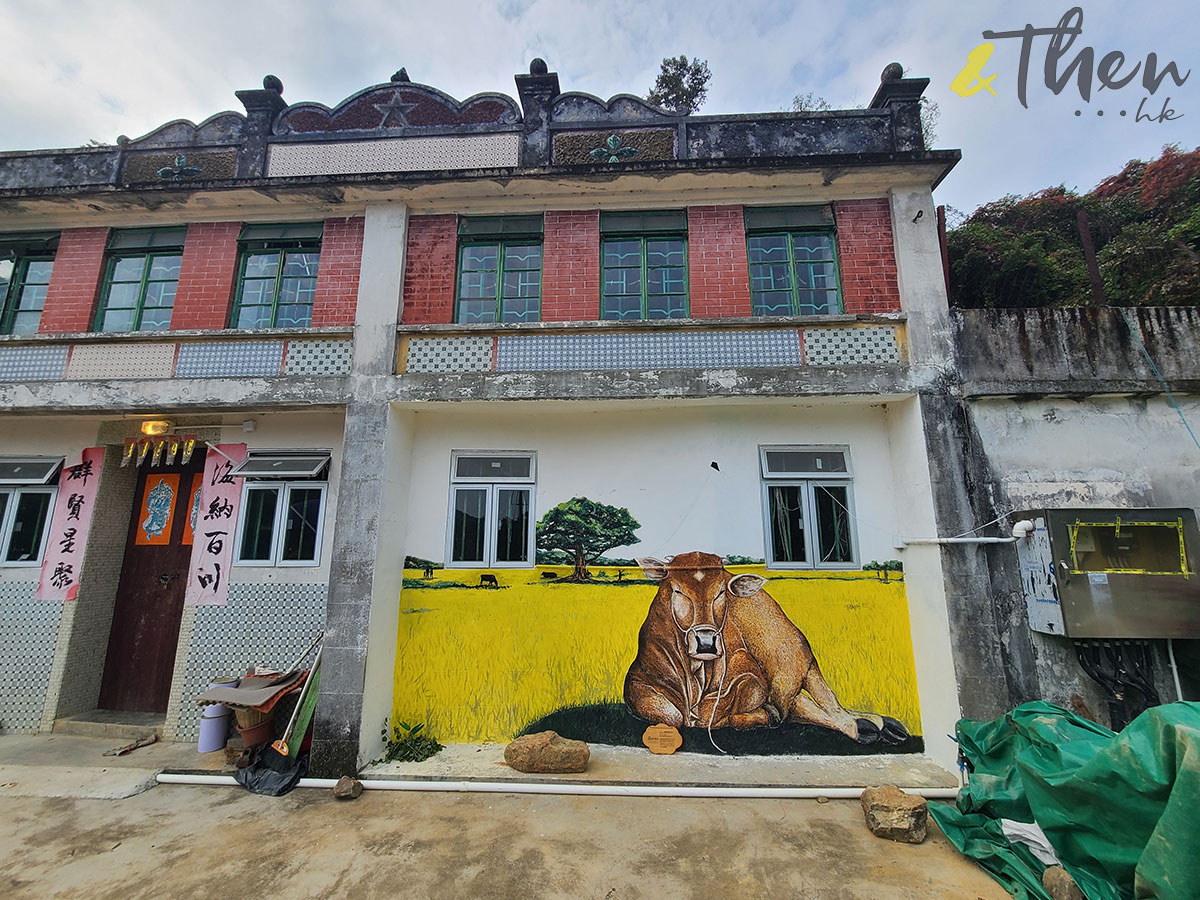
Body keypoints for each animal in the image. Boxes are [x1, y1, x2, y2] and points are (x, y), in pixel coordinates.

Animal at [624, 554, 902, 744]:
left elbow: (724, 709)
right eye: (678, 590)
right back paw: (876, 725)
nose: (706, 642)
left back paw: (869, 725)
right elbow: (671, 715)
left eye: (720, 593)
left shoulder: (750, 674)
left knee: (827, 703)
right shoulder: (639, 682)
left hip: (796, 660)